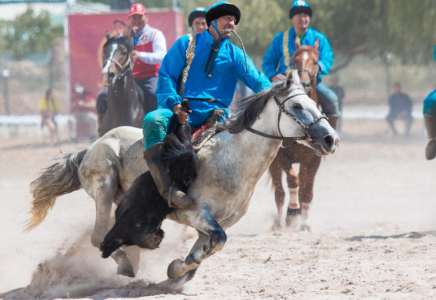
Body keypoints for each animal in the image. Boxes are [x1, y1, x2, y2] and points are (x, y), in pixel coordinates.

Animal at [27, 70, 338, 284]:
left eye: (314, 102)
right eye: (297, 106)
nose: (330, 138)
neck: (233, 159)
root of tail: (90, 148)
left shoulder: (213, 224)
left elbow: (209, 248)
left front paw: (177, 269)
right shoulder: (195, 214)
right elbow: (217, 241)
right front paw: (178, 267)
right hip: (103, 188)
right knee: (98, 237)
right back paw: (125, 264)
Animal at [270, 37, 330, 230]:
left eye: (316, 61)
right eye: (294, 60)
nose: (304, 83)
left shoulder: (313, 159)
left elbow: (307, 189)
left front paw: (305, 222)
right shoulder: (282, 158)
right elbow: (293, 181)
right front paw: (293, 213)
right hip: (273, 165)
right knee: (280, 193)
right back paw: (279, 221)